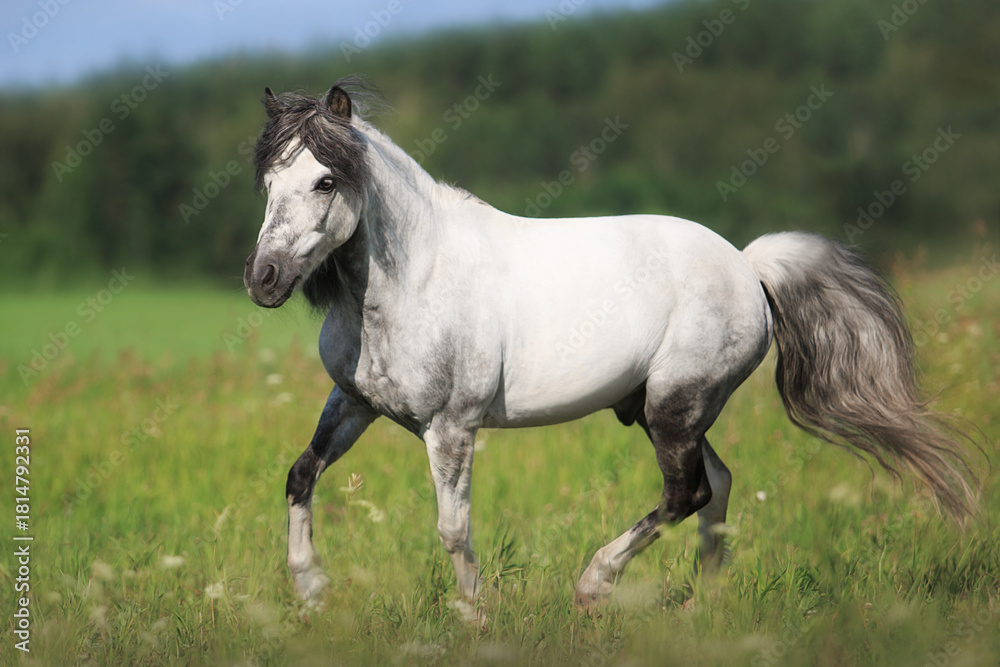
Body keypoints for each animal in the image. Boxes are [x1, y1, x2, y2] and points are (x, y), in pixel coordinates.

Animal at [242, 77, 978, 607]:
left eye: (327, 181)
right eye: (269, 182)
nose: (263, 279)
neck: (413, 278)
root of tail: (747, 266)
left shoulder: (450, 427)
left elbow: (453, 528)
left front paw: (476, 616)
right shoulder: (354, 404)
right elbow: (299, 475)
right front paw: (311, 592)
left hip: (673, 406)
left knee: (688, 493)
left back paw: (594, 584)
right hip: (660, 408)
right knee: (718, 483)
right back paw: (706, 605)